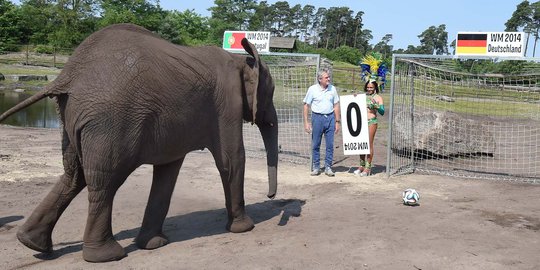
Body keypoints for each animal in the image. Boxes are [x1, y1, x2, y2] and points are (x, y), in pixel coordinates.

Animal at [0, 22, 278, 262]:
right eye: (271, 92)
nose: (271, 196)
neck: (241, 59)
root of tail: (67, 75)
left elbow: (168, 171)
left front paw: (153, 244)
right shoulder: (226, 104)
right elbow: (231, 159)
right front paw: (244, 228)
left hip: (72, 117)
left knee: (74, 175)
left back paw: (32, 243)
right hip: (110, 121)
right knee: (104, 180)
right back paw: (107, 256)